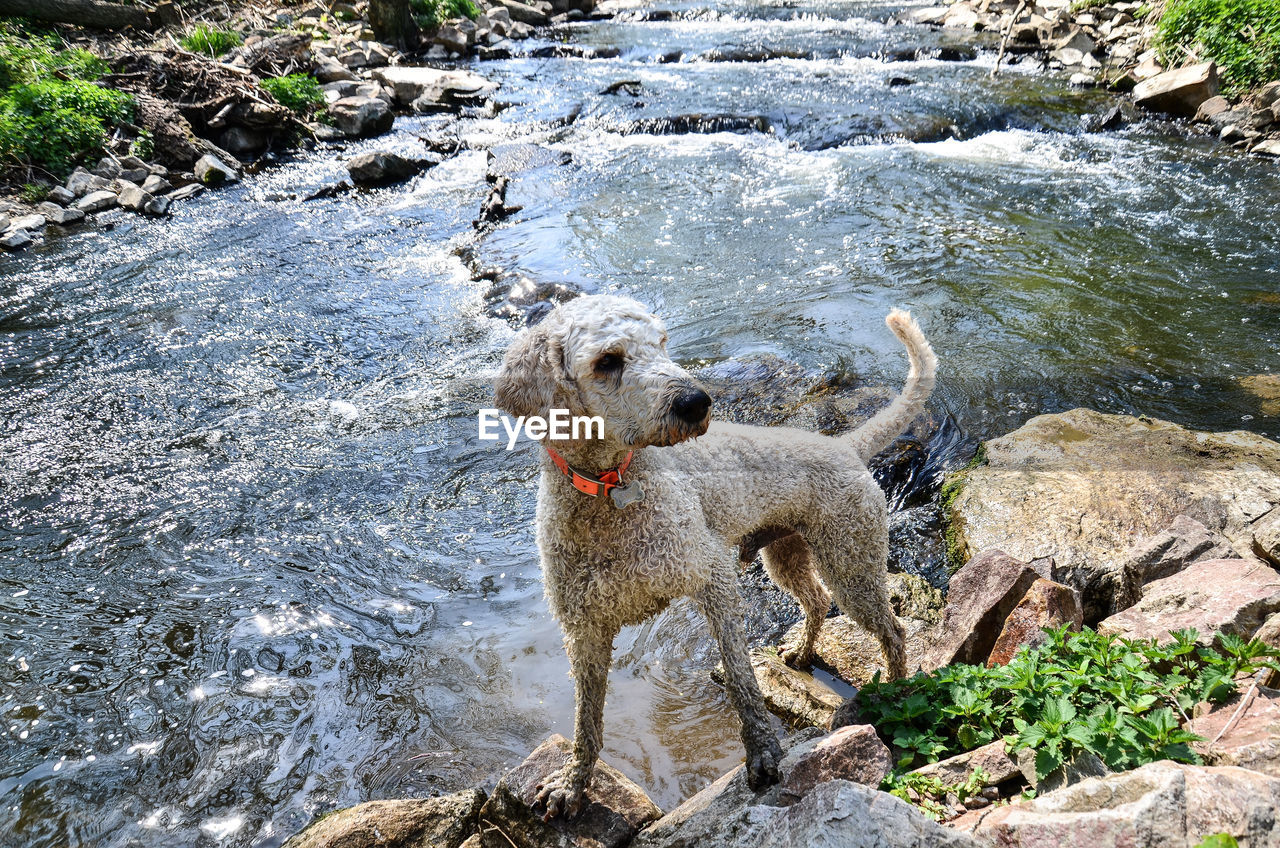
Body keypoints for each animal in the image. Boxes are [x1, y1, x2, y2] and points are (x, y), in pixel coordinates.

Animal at [494, 294, 936, 824]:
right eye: (607, 361)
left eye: (661, 342)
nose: (697, 402)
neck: (609, 490)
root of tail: (843, 444)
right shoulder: (584, 633)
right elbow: (586, 723)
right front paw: (572, 784)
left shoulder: (713, 577)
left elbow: (742, 681)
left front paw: (762, 753)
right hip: (786, 554)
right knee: (814, 599)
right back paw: (802, 653)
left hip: (851, 562)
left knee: (892, 630)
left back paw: (895, 692)